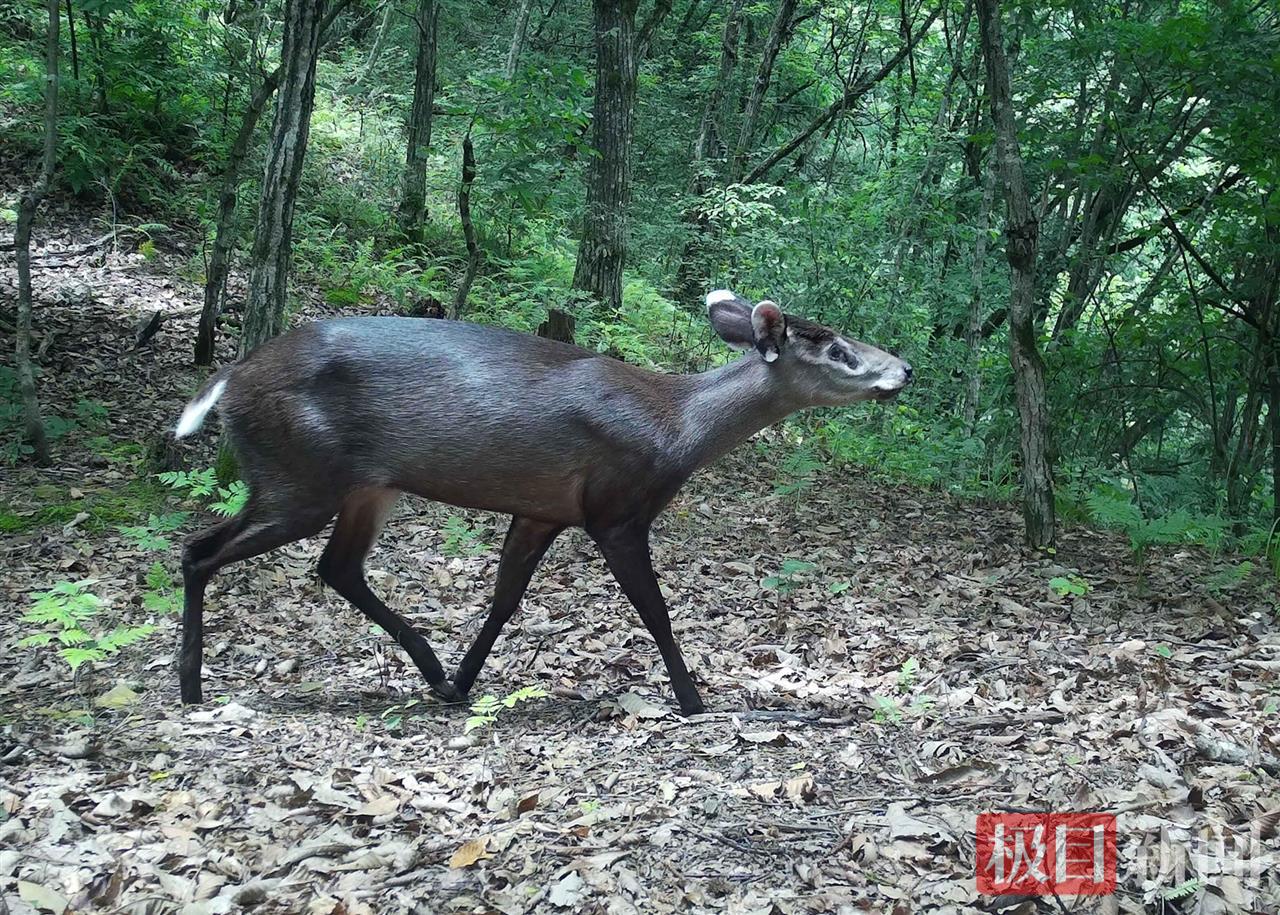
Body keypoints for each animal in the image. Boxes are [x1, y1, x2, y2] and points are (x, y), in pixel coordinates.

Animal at [172, 290, 912, 715]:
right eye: (838, 348)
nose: (903, 369)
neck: (678, 429)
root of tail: (231, 376)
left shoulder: (543, 509)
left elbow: (504, 600)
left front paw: (465, 682)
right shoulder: (616, 508)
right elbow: (656, 612)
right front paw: (694, 699)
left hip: (363, 483)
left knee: (336, 566)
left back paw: (434, 676)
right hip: (300, 473)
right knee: (198, 549)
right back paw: (190, 685)